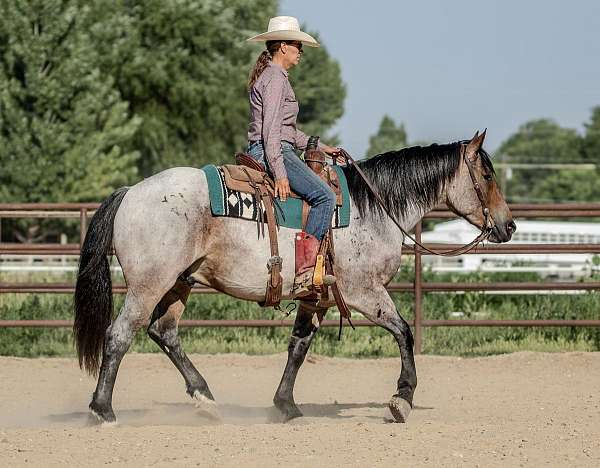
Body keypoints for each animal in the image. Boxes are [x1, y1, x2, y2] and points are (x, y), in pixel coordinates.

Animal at [74, 131, 516, 424]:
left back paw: (205, 397)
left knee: (163, 332)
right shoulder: (364, 291)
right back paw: (102, 409)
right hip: (149, 284)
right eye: (487, 176)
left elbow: (298, 348)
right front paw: (401, 399)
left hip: (181, 281)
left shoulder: (316, 297)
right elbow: (404, 332)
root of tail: (131, 192)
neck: (373, 208)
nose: (509, 226)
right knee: (120, 335)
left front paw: (286, 405)